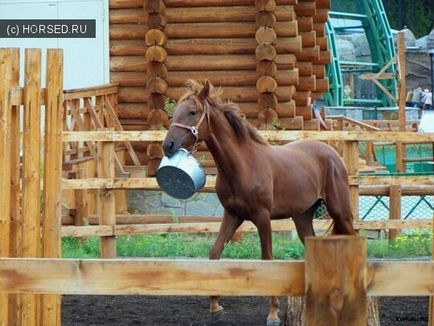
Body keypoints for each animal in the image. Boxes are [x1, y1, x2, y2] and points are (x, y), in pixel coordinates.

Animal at [161, 79, 354, 326]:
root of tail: (332, 152)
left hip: (340, 212)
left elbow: (268, 260)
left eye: (193, 112)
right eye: (176, 111)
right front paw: (215, 306)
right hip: (302, 218)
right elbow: (214, 253)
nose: (168, 146)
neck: (243, 165)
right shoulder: (232, 215)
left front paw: (272, 314)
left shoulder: (262, 217)